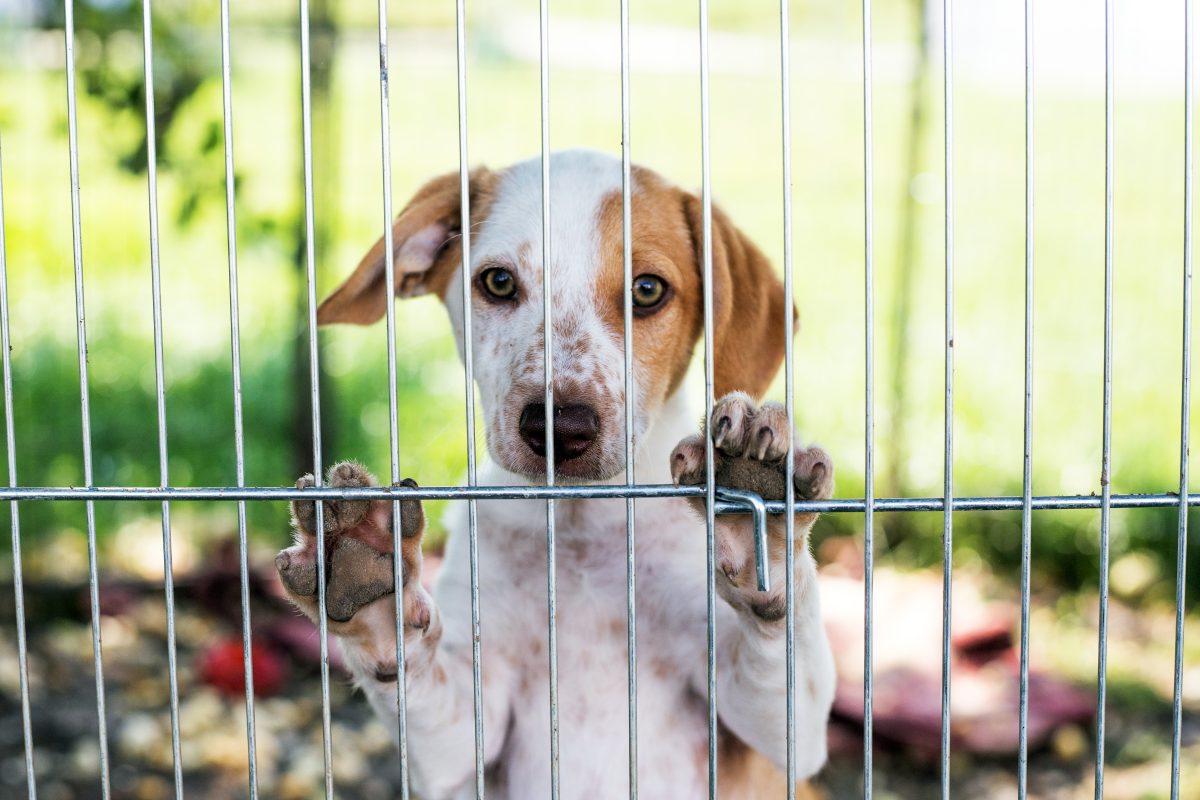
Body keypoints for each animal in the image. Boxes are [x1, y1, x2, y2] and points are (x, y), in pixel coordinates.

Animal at [274, 151, 835, 800]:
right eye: (498, 282)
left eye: (647, 290)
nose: (558, 428)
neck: (579, 523)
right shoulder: (463, 734)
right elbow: (409, 665)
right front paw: (368, 580)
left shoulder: (780, 742)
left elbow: (786, 647)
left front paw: (755, 519)